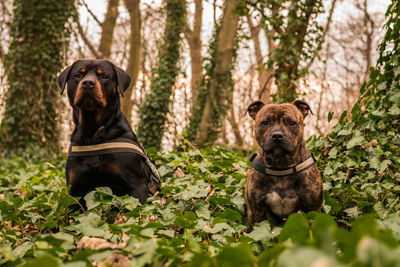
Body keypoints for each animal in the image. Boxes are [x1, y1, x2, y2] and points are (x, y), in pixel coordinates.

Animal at [58, 59, 161, 205]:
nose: (88, 83)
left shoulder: (137, 185)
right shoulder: (74, 188)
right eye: (78, 75)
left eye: (104, 76)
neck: (93, 133)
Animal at [245, 99, 324, 229]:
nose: (277, 135)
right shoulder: (256, 211)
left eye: (291, 123)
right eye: (265, 122)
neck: (281, 165)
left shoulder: (312, 209)